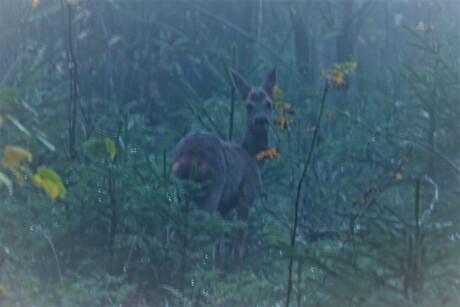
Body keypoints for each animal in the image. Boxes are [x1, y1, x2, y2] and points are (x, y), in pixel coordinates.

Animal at [171, 68, 274, 272]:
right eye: (249, 105)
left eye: (269, 104)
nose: (261, 120)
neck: (252, 157)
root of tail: (190, 152)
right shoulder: (246, 197)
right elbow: (238, 247)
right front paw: (235, 274)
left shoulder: (224, 208)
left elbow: (218, 249)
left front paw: (218, 273)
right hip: (212, 187)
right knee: (196, 235)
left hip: (178, 190)